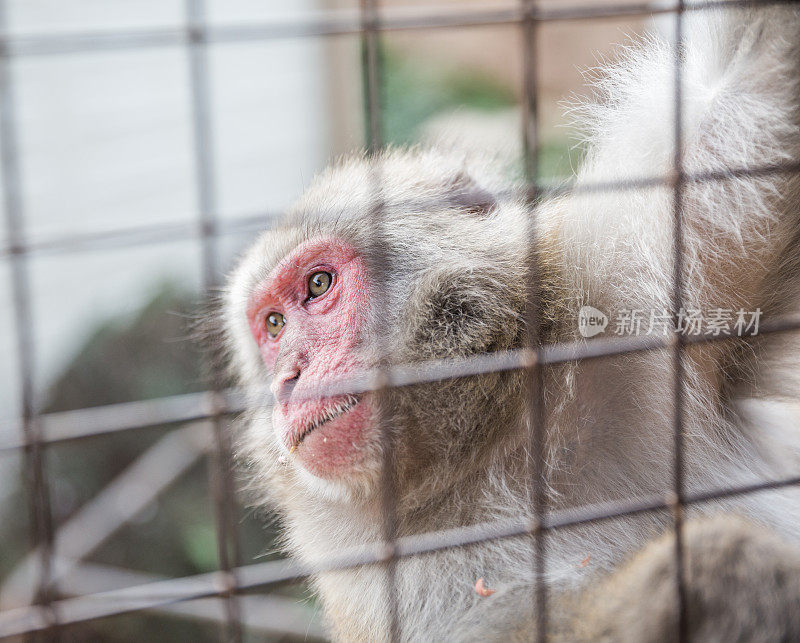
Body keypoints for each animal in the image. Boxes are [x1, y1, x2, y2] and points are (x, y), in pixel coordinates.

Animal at [222, 3, 800, 640]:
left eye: (318, 285)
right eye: (274, 326)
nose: (289, 376)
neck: (492, 441)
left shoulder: (624, 282)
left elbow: (750, 74)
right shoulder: (381, 582)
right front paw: (696, 580)